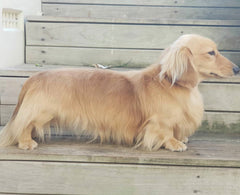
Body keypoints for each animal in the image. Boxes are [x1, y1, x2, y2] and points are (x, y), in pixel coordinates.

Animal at [0, 34, 238, 152]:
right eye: (211, 53)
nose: (237, 69)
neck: (172, 84)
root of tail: (34, 77)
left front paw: (182, 138)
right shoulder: (160, 122)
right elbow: (165, 133)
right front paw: (174, 143)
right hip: (42, 112)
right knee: (24, 124)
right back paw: (26, 142)